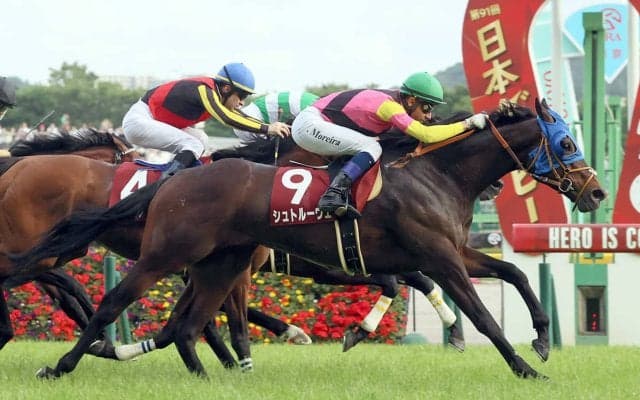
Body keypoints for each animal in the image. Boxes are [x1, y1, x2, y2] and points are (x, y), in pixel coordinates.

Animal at [12, 99, 606, 379]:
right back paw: (63, 364)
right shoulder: (436, 256)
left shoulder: (452, 250)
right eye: (566, 141)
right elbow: (480, 314)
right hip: (168, 253)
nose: (597, 192)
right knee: (113, 302)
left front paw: (542, 339)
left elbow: (513, 272)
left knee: (185, 323)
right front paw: (525, 367)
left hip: (219, 262)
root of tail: (178, 176)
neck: (436, 172)